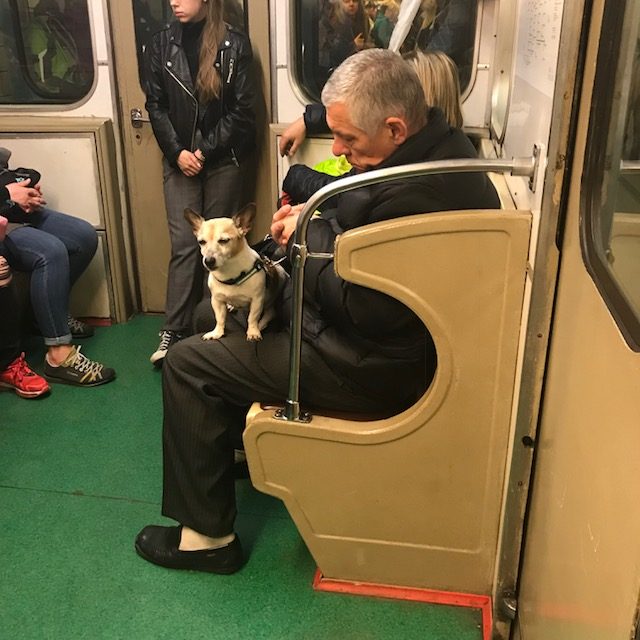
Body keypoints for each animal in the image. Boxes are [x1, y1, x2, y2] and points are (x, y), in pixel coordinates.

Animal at [185, 204, 287, 341]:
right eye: (201, 242)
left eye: (224, 240)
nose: (208, 261)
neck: (229, 273)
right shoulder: (217, 301)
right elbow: (220, 318)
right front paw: (217, 333)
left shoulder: (257, 301)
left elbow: (252, 318)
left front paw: (253, 332)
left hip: (271, 297)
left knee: (268, 314)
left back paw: (260, 326)